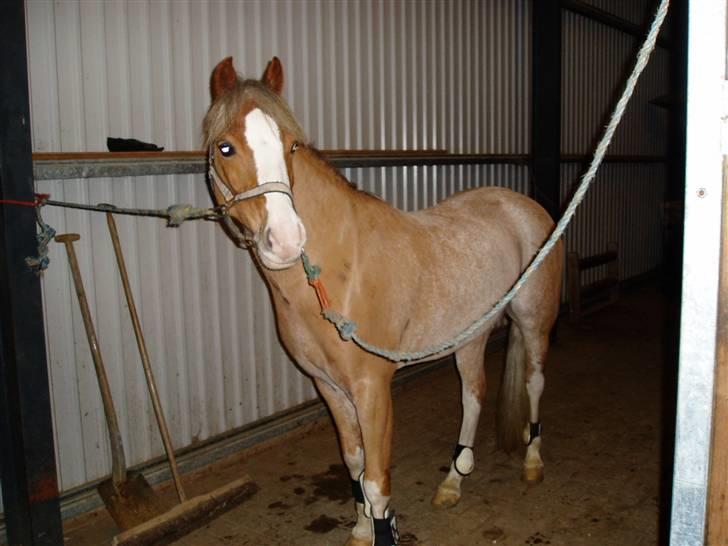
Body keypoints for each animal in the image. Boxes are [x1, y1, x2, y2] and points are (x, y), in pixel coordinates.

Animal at [203, 56, 563, 546]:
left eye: (292, 146)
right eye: (225, 148)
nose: (286, 240)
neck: (339, 271)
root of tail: (525, 206)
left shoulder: (372, 389)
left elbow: (375, 481)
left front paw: (381, 528)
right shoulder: (330, 388)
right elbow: (354, 464)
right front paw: (360, 529)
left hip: (533, 323)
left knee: (534, 383)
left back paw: (532, 461)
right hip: (469, 336)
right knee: (473, 395)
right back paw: (453, 481)